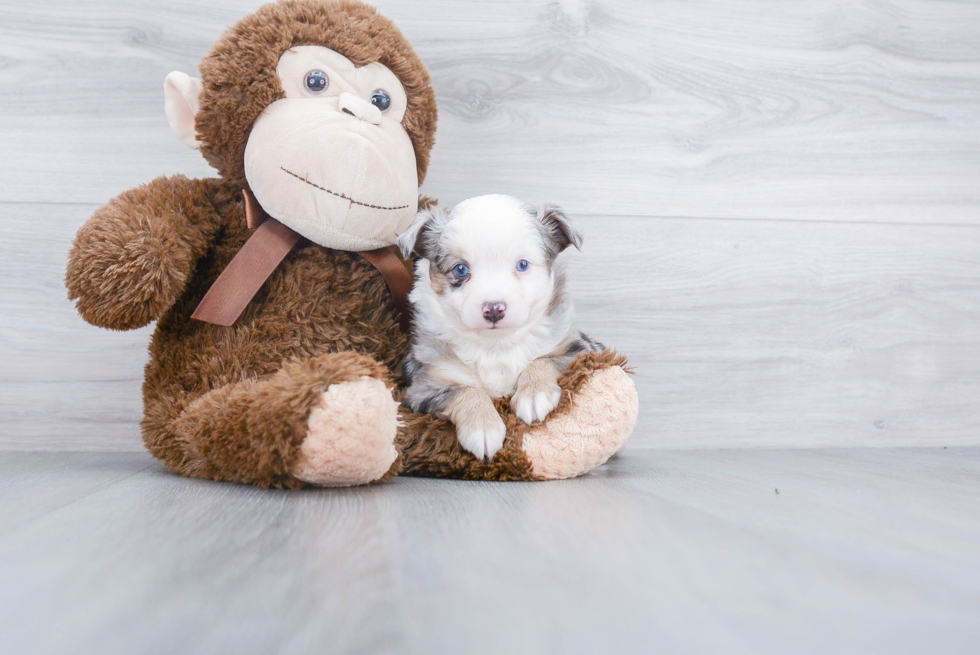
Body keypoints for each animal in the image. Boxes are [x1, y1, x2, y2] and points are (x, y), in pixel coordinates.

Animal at [396, 193, 596, 462]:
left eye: (522, 265)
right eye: (461, 269)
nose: (493, 309)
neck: (495, 346)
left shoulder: (580, 350)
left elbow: (542, 361)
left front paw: (534, 395)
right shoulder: (424, 386)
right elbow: (466, 390)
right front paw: (482, 428)